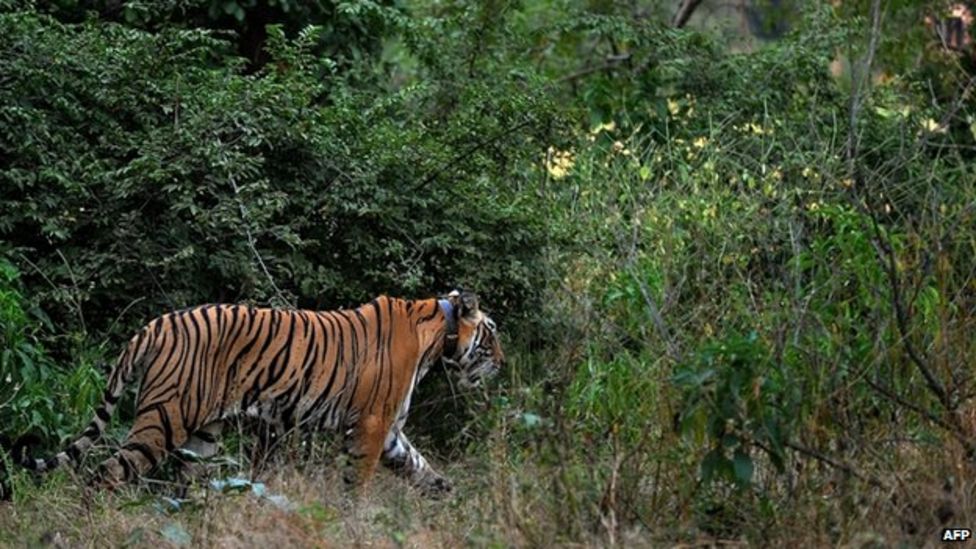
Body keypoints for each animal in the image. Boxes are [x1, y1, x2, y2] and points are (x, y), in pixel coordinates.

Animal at [1, 288, 504, 498]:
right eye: (492, 334)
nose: (501, 362)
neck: (437, 335)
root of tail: (154, 325)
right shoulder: (371, 425)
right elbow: (356, 484)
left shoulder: (393, 433)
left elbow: (423, 469)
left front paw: (453, 498)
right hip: (162, 420)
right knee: (102, 473)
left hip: (201, 435)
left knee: (184, 484)